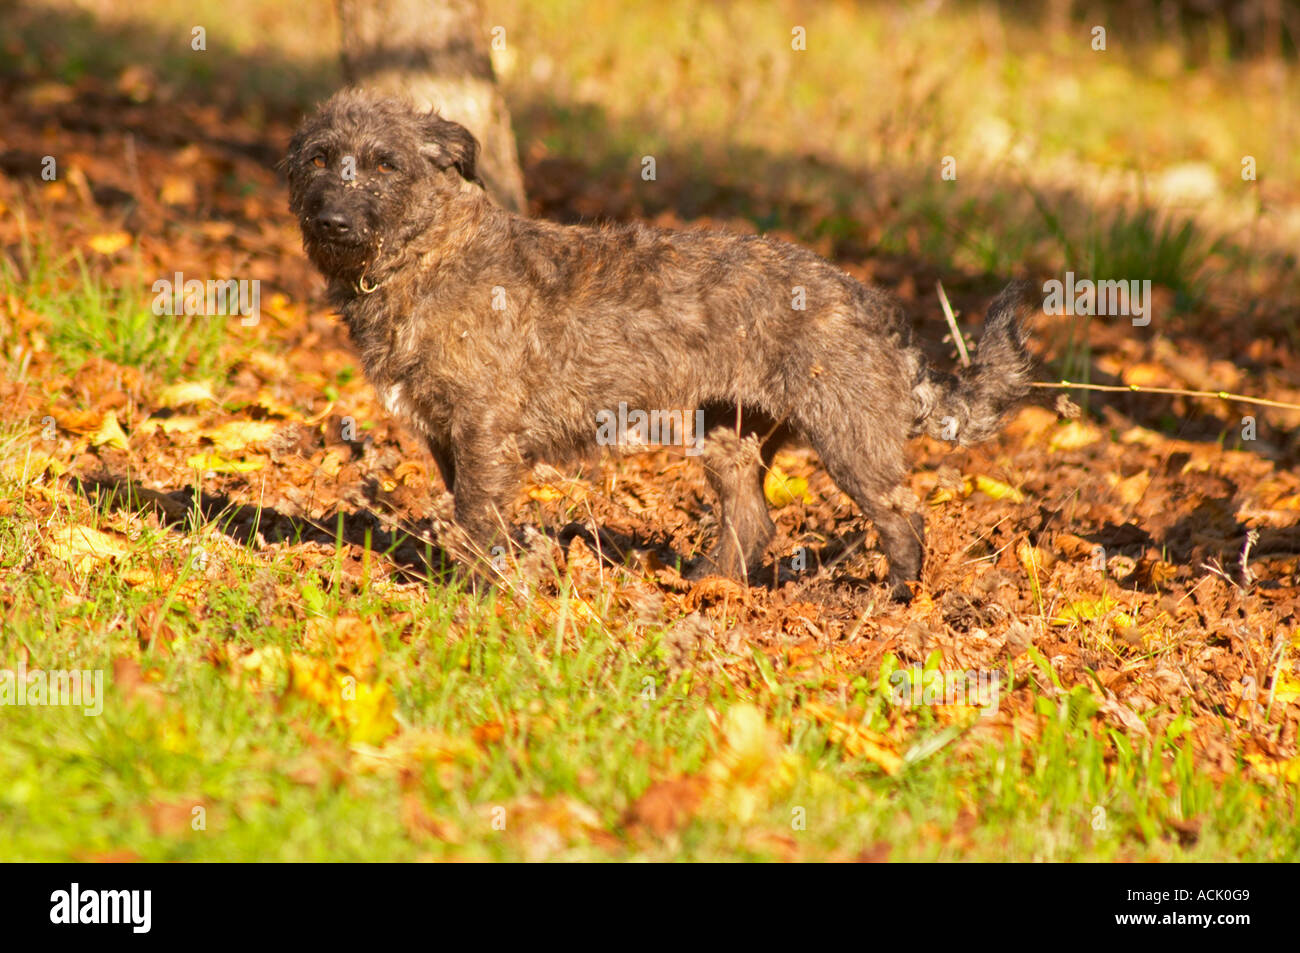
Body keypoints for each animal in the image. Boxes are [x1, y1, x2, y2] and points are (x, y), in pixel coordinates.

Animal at [287, 89, 1034, 595]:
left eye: (385, 164)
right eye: (319, 159)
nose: (331, 219)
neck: (422, 255)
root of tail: (868, 301)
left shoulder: (483, 431)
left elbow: (477, 514)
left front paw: (475, 590)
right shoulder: (447, 435)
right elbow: (476, 511)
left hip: (849, 438)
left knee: (903, 514)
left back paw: (897, 598)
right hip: (730, 435)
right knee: (752, 521)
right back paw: (712, 586)